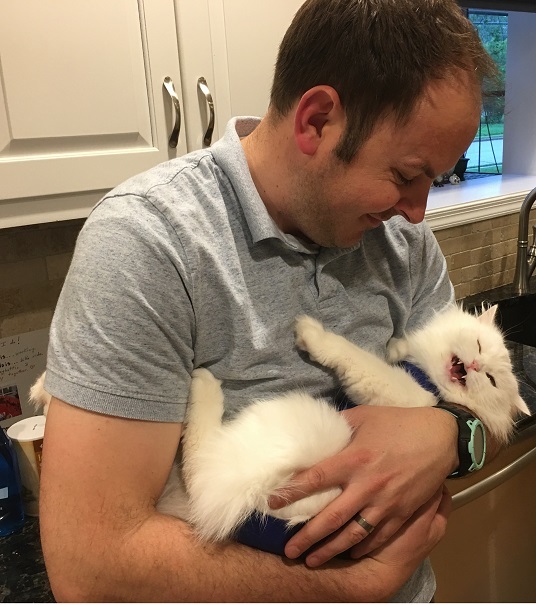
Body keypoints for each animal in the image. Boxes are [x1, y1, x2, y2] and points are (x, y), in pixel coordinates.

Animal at [29, 302, 528, 544]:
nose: (475, 365)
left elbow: (347, 353)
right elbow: (386, 351)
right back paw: (43, 389)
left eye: (491, 379)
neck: (431, 384)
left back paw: (203, 384)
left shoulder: (398, 393)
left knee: (197, 453)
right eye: (477, 346)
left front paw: (311, 333)